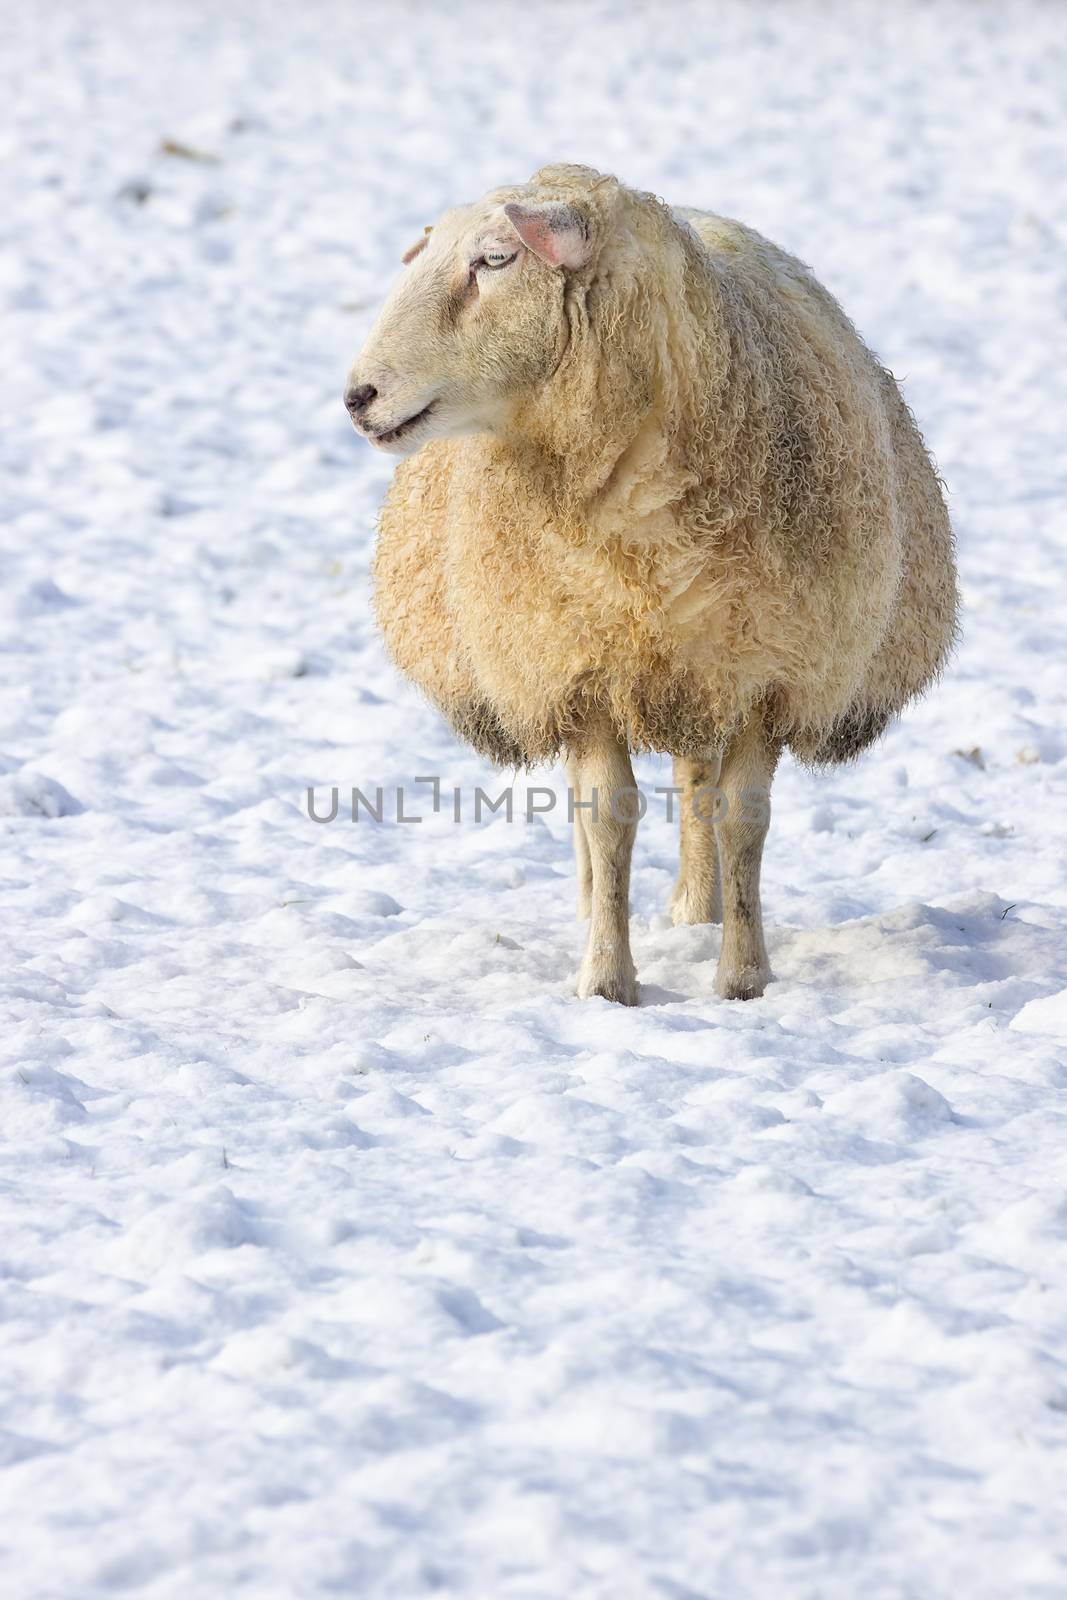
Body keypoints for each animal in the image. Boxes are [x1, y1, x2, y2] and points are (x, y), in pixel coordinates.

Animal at [348, 168, 959, 1004]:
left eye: (495, 259)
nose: (358, 396)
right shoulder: (574, 670)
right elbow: (606, 819)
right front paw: (606, 977)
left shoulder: (768, 672)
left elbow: (740, 819)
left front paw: (742, 976)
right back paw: (594, 913)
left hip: (701, 666)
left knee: (698, 787)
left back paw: (698, 911)